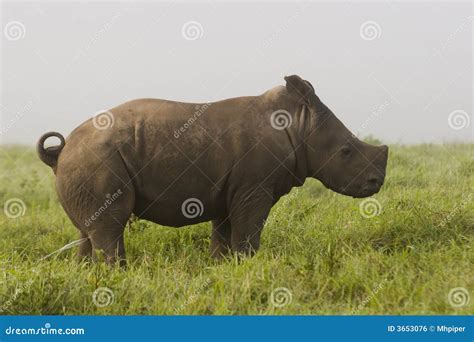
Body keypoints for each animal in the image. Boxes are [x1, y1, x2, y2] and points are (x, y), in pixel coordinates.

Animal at [38, 75, 388, 268]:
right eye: (346, 152)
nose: (376, 183)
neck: (297, 123)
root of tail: (62, 150)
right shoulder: (254, 187)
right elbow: (248, 233)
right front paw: (248, 266)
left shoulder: (232, 187)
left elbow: (225, 233)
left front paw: (221, 268)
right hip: (97, 157)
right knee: (109, 226)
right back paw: (117, 275)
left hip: (88, 159)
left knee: (89, 229)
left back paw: (89, 275)